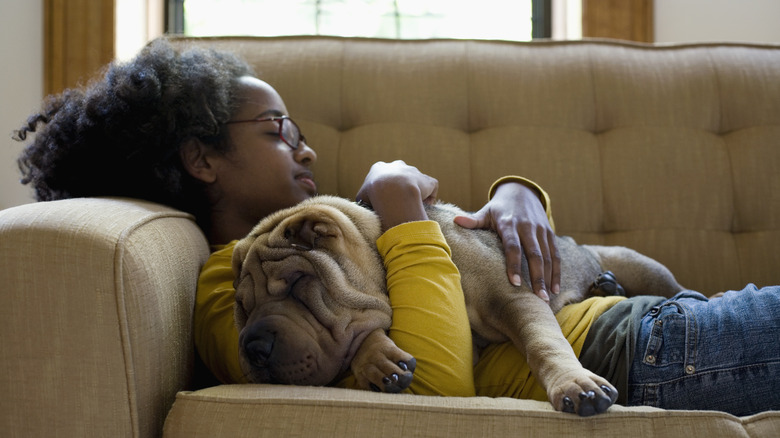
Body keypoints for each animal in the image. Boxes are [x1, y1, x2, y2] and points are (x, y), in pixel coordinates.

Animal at [233, 194, 684, 414]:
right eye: (243, 308)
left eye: (297, 283)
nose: (252, 348)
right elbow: (362, 331)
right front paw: (377, 358)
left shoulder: (516, 298)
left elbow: (544, 344)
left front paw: (575, 383)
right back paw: (603, 286)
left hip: (638, 262)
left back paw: (610, 284)